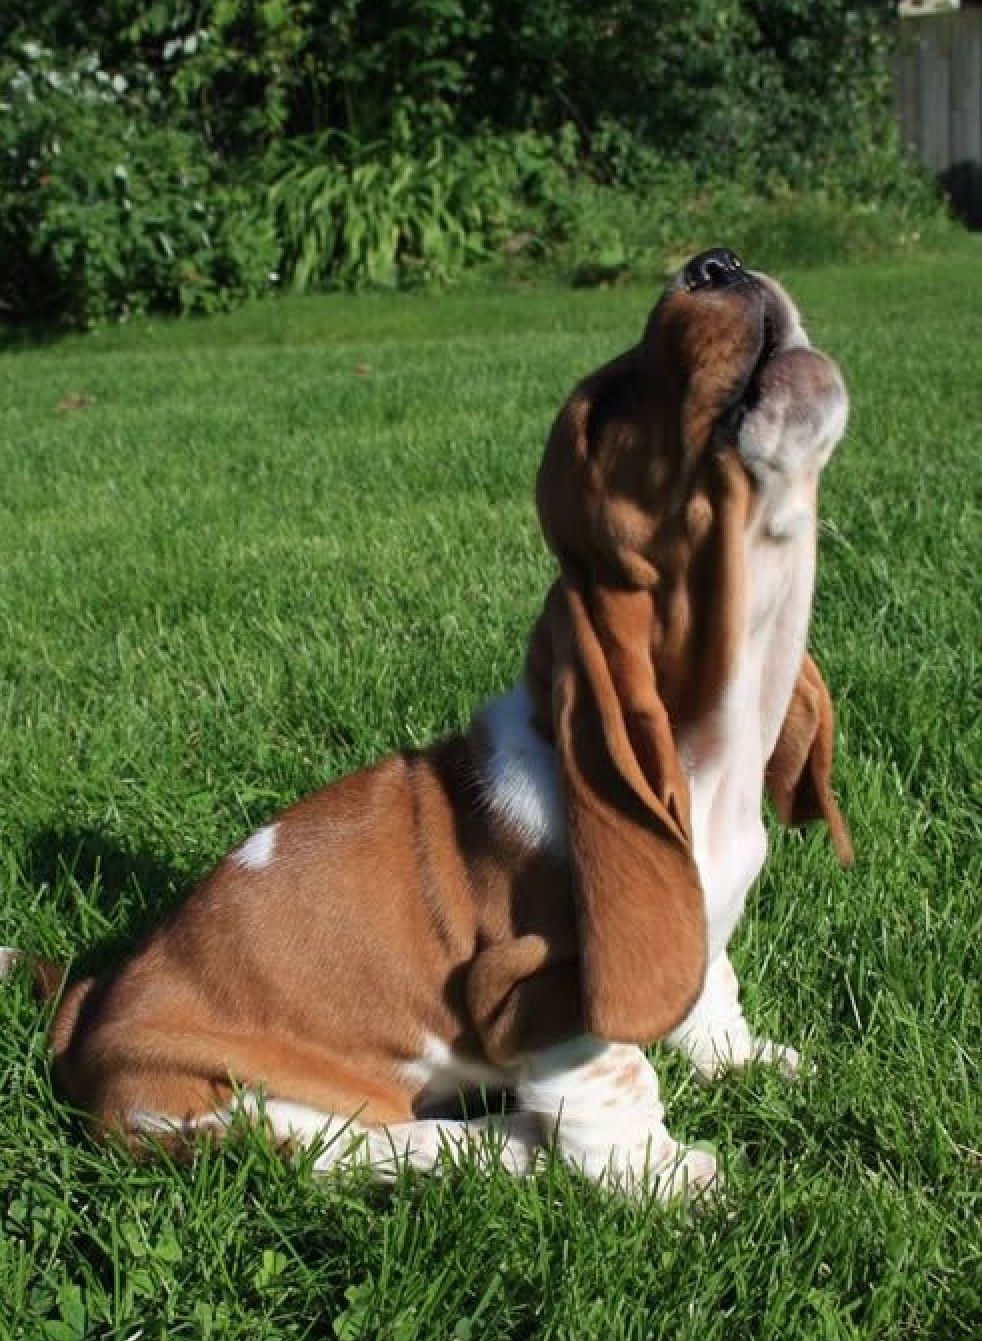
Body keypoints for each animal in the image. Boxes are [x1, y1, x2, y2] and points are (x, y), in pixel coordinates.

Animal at [3, 246, 853, 1201]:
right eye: (607, 410)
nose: (715, 262)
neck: (717, 743)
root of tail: (85, 1011)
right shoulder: (537, 984)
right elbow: (617, 1078)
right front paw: (666, 1179)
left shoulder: (695, 928)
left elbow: (711, 993)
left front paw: (753, 1062)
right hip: (248, 1111)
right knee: (376, 1146)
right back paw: (508, 1145)